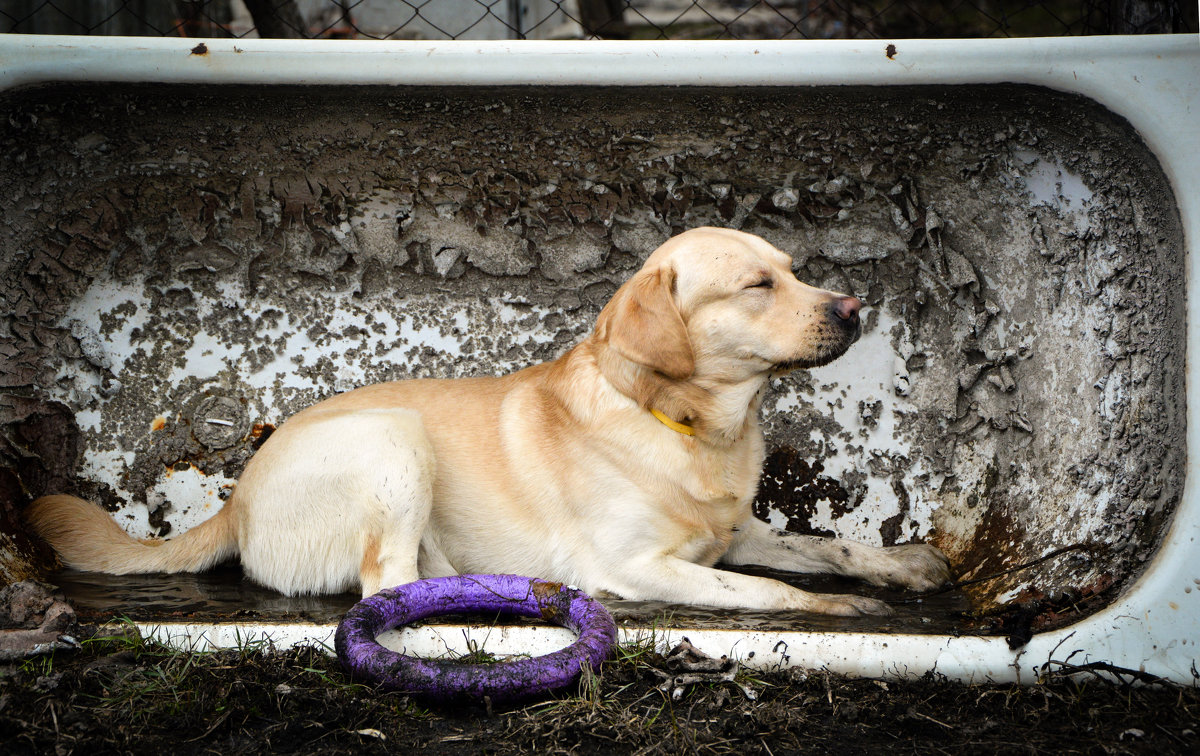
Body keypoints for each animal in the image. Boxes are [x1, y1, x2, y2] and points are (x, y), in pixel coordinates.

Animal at [25, 226, 945, 614]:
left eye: (792, 269)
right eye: (758, 285)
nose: (856, 308)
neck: (690, 425)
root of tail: (237, 498)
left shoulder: (733, 530)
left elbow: (822, 547)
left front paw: (900, 566)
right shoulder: (638, 567)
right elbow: (767, 589)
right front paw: (843, 609)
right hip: (392, 436)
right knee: (386, 586)